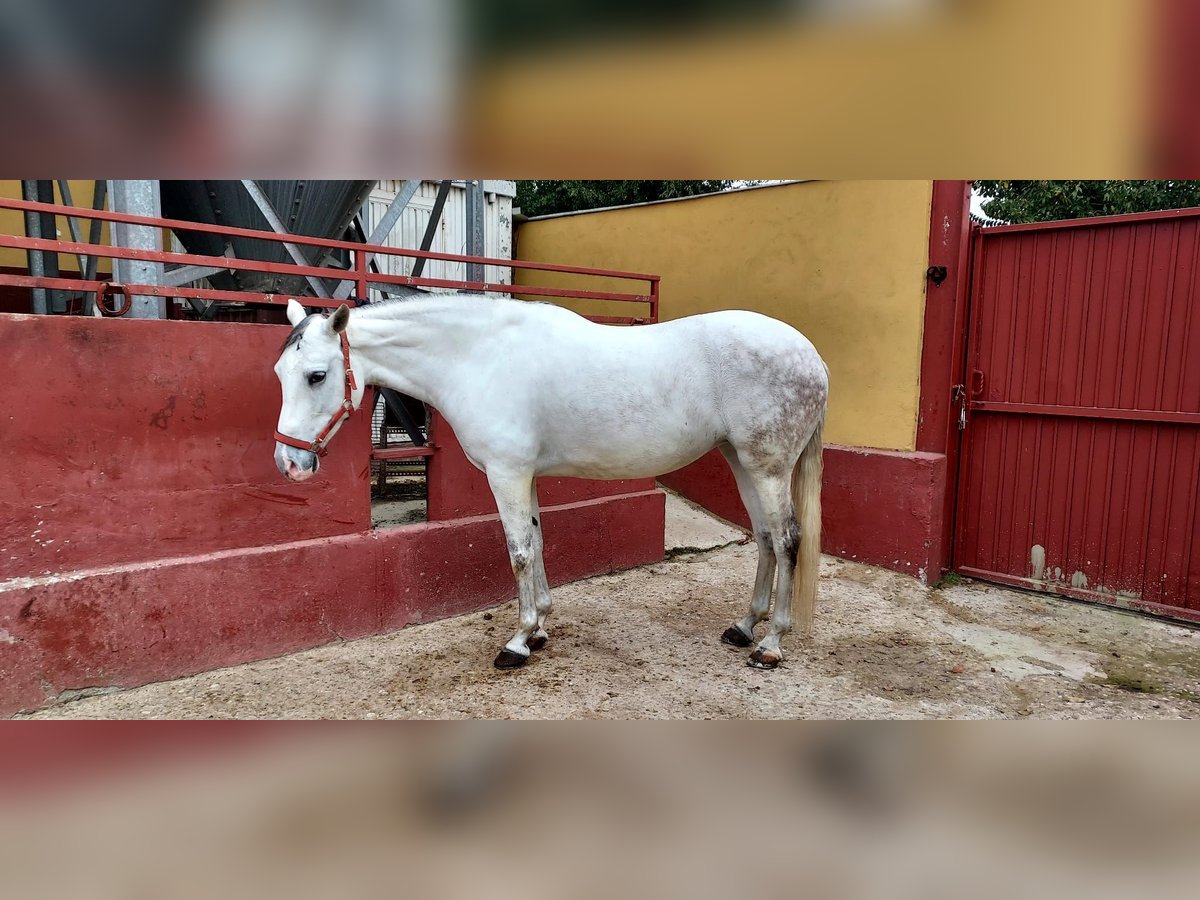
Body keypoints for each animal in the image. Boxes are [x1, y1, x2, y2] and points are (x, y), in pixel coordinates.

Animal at [274, 296, 830, 672]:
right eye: (281, 371)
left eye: (317, 375)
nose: (290, 463)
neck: (479, 357)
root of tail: (812, 357)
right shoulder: (526, 477)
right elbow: (538, 544)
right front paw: (540, 627)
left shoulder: (507, 475)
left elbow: (519, 552)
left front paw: (518, 642)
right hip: (742, 462)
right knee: (764, 539)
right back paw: (744, 627)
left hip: (768, 468)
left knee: (787, 541)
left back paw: (771, 644)